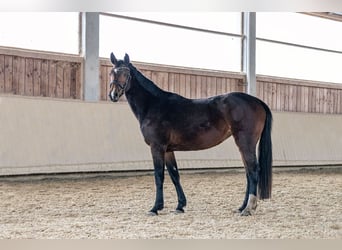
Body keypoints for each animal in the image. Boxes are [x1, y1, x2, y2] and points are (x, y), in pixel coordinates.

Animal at [107, 52, 272, 215]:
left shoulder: (157, 147)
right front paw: (180, 205)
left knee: (253, 170)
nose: (113, 94)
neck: (153, 105)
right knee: (248, 172)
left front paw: (155, 208)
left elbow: (159, 176)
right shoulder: (168, 150)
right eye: (112, 72)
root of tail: (257, 101)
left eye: (125, 73)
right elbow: (174, 175)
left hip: (245, 142)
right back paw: (242, 207)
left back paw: (249, 207)